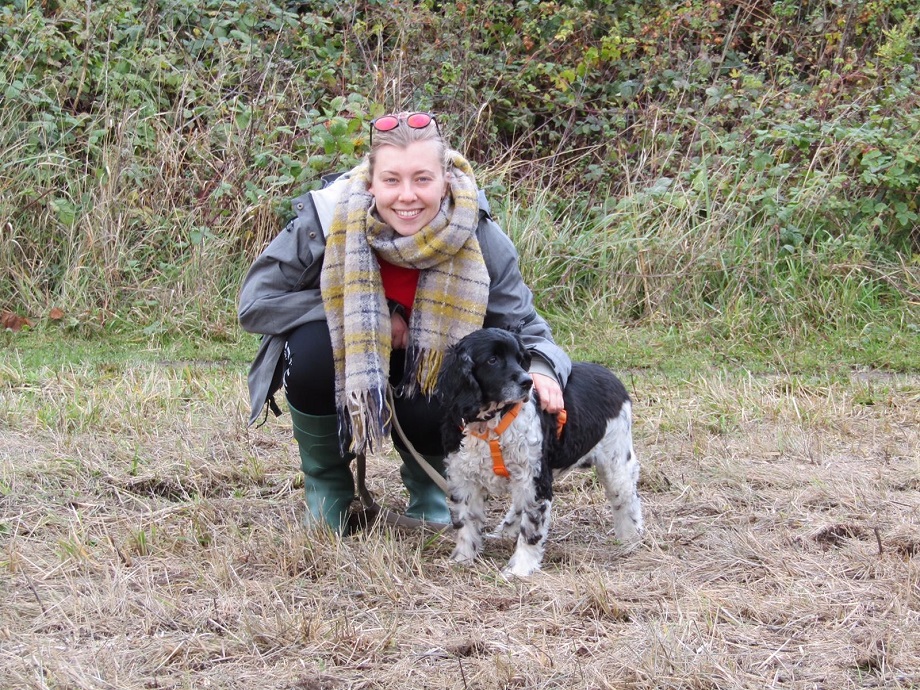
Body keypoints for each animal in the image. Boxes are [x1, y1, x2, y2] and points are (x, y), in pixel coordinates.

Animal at [436, 328, 640, 576]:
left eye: (519, 358)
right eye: (492, 360)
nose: (527, 381)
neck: (490, 424)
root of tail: (611, 376)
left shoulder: (535, 477)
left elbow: (532, 528)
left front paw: (519, 569)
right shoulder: (463, 477)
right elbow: (466, 522)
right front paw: (462, 559)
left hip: (616, 460)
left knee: (627, 499)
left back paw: (630, 540)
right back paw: (505, 530)